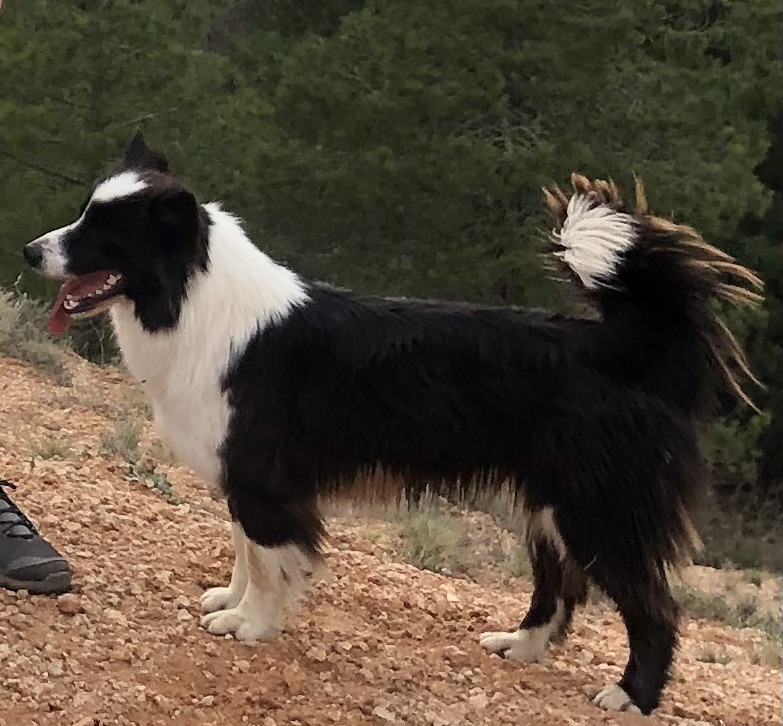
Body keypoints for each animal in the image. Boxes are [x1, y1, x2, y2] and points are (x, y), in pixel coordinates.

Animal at [23, 134, 760, 712]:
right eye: (83, 215)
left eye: (101, 232)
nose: (31, 252)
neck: (196, 298)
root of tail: (625, 347)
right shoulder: (244, 477)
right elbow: (246, 551)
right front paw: (229, 601)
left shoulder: (264, 479)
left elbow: (270, 560)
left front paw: (250, 626)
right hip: (549, 507)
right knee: (560, 587)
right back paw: (519, 647)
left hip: (597, 510)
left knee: (654, 609)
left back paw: (631, 696)